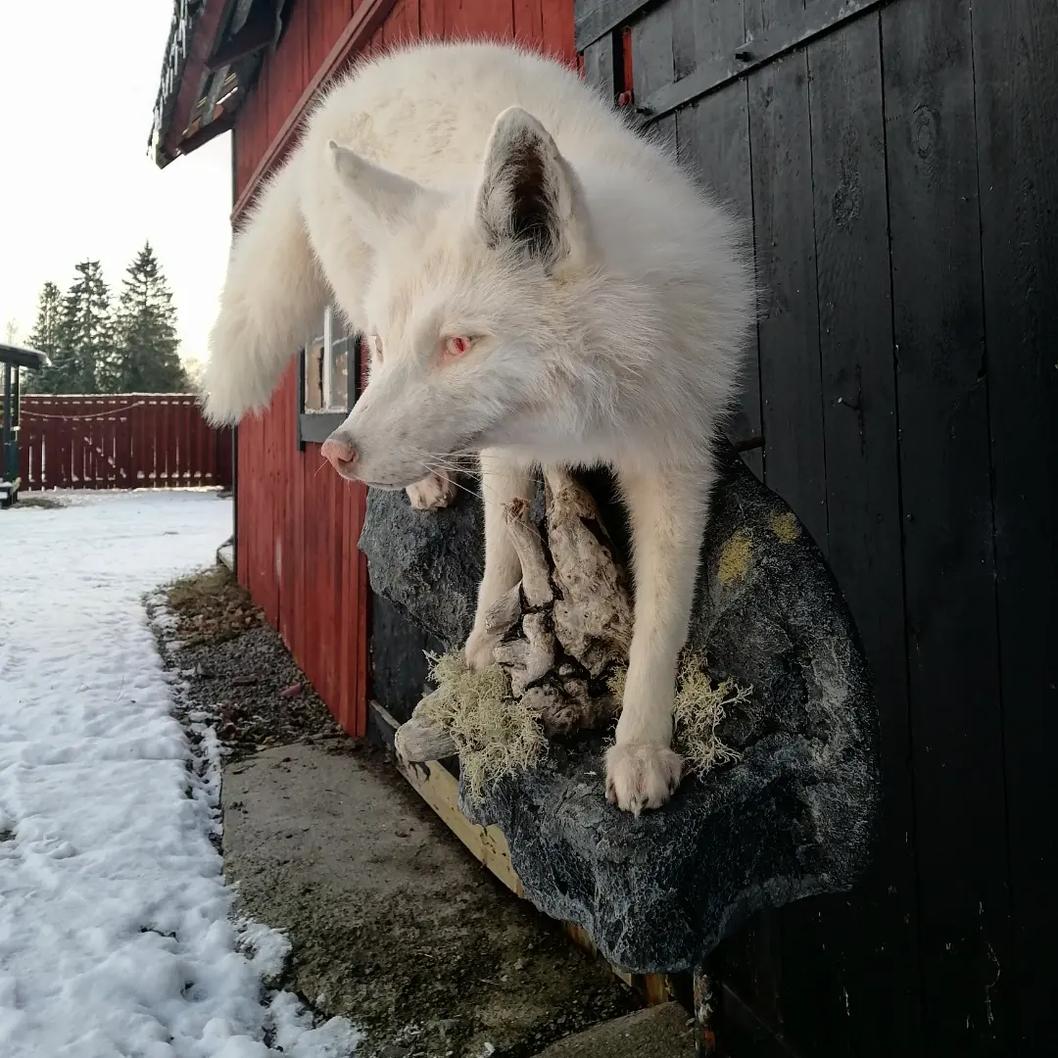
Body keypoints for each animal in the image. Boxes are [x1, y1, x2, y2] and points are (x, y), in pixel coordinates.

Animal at [204, 41, 754, 815]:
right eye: (424, 341)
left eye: (458, 344)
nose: (337, 456)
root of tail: (352, 86)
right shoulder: (504, 445)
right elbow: (500, 559)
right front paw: (473, 664)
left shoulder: (677, 456)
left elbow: (661, 617)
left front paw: (643, 747)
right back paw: (427, 484)